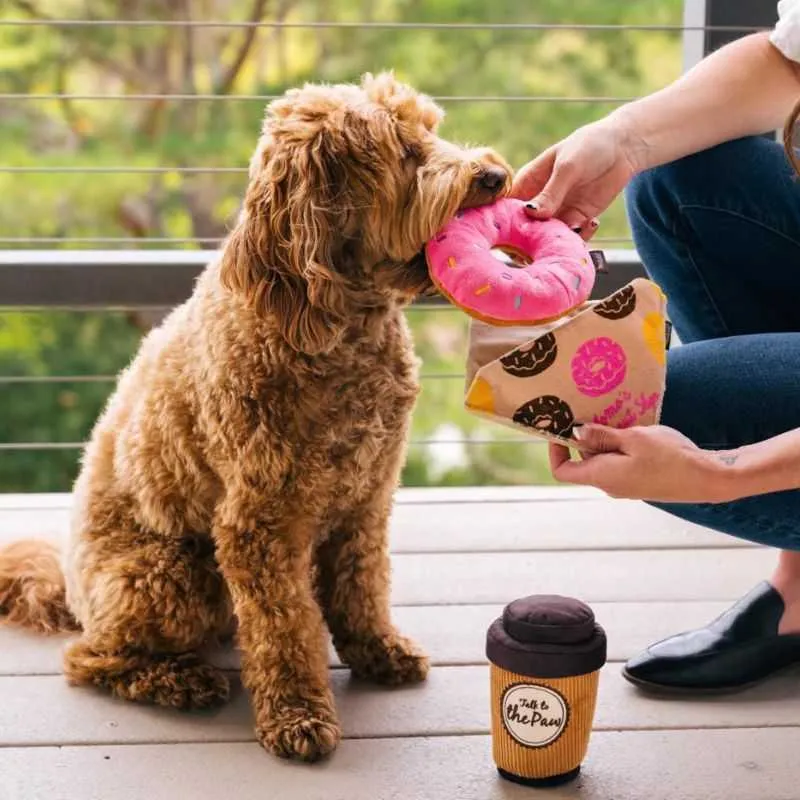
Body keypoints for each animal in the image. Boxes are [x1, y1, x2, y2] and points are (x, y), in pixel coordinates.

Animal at [0, 70, 512, 764]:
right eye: (405, 152)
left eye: (432, 130)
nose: (495, 175)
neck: (339, 325)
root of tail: (73, 593)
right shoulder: (261, 522)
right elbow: (284, 626)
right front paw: (297, 715)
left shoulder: (367, 497)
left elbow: (361, 585)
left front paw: (376, 651)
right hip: (171, 574)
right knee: (89, 658)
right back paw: (178, 681)